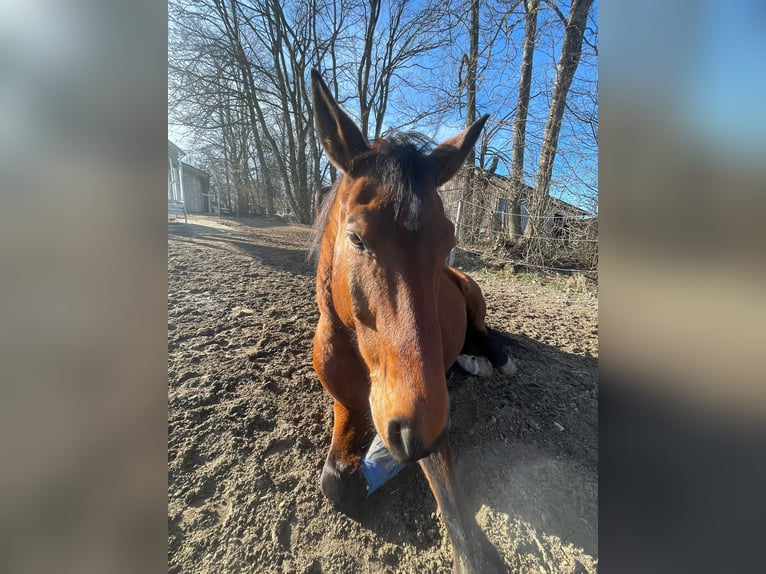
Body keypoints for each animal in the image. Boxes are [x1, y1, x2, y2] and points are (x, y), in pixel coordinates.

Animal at [310, 72, 516, 574]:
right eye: (356, 238)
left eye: (448, 240)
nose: (414, 431)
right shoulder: (349, 405)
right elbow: (336, 482)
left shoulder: (433, 429)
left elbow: (460, 525)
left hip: (474, 300)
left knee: (484, 333)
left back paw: (494, 360)